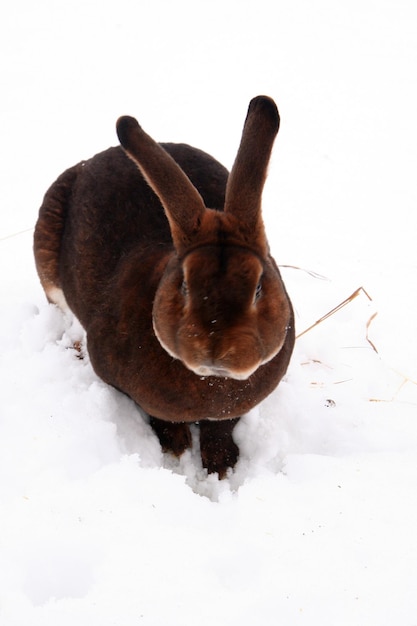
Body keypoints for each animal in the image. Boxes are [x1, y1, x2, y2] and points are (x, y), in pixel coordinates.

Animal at [34, 95, 294, 476]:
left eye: (259, 287)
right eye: (184, 284)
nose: (216, 348)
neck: (211, 382)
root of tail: (98, 157)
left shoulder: (229, 413)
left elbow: (222, 426)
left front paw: (221, 465)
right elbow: (162, 419)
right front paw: (177, 448)